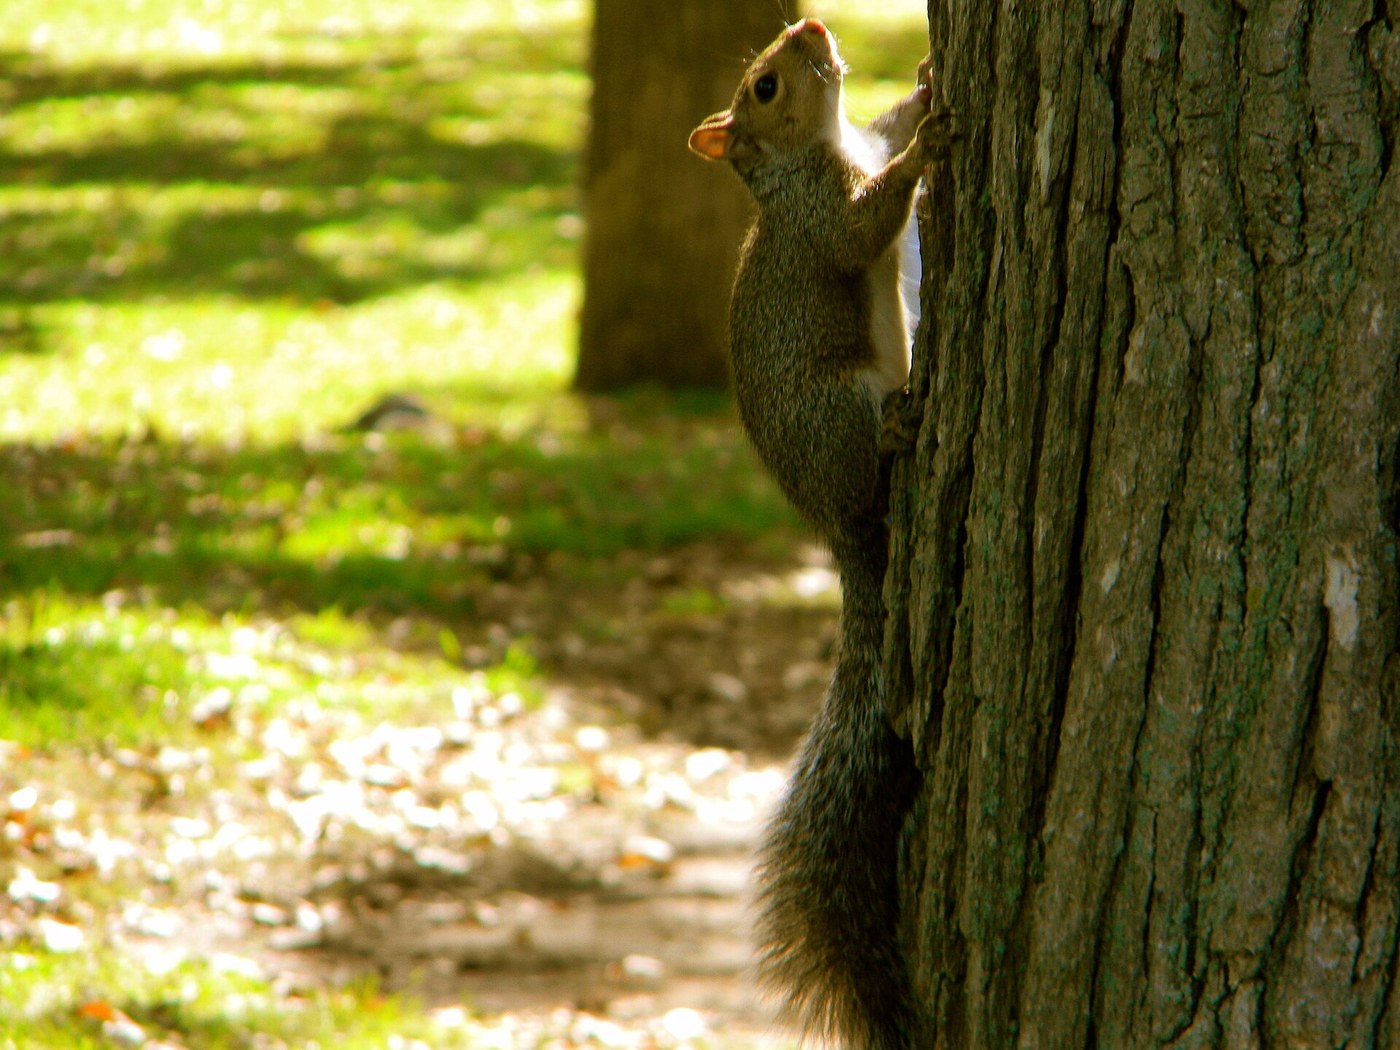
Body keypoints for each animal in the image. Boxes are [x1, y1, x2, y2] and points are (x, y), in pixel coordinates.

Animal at [688, 18, 954, 1050]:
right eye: (765, 87)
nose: (812, 26)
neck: (823, 148)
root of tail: (837, 537)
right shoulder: (822, 218)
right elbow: (863, 228)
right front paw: (928, 154)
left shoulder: (861, 140)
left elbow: (891, 126)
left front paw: (926, 82)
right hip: (839, 408)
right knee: (868, 469)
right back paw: (899, 432)